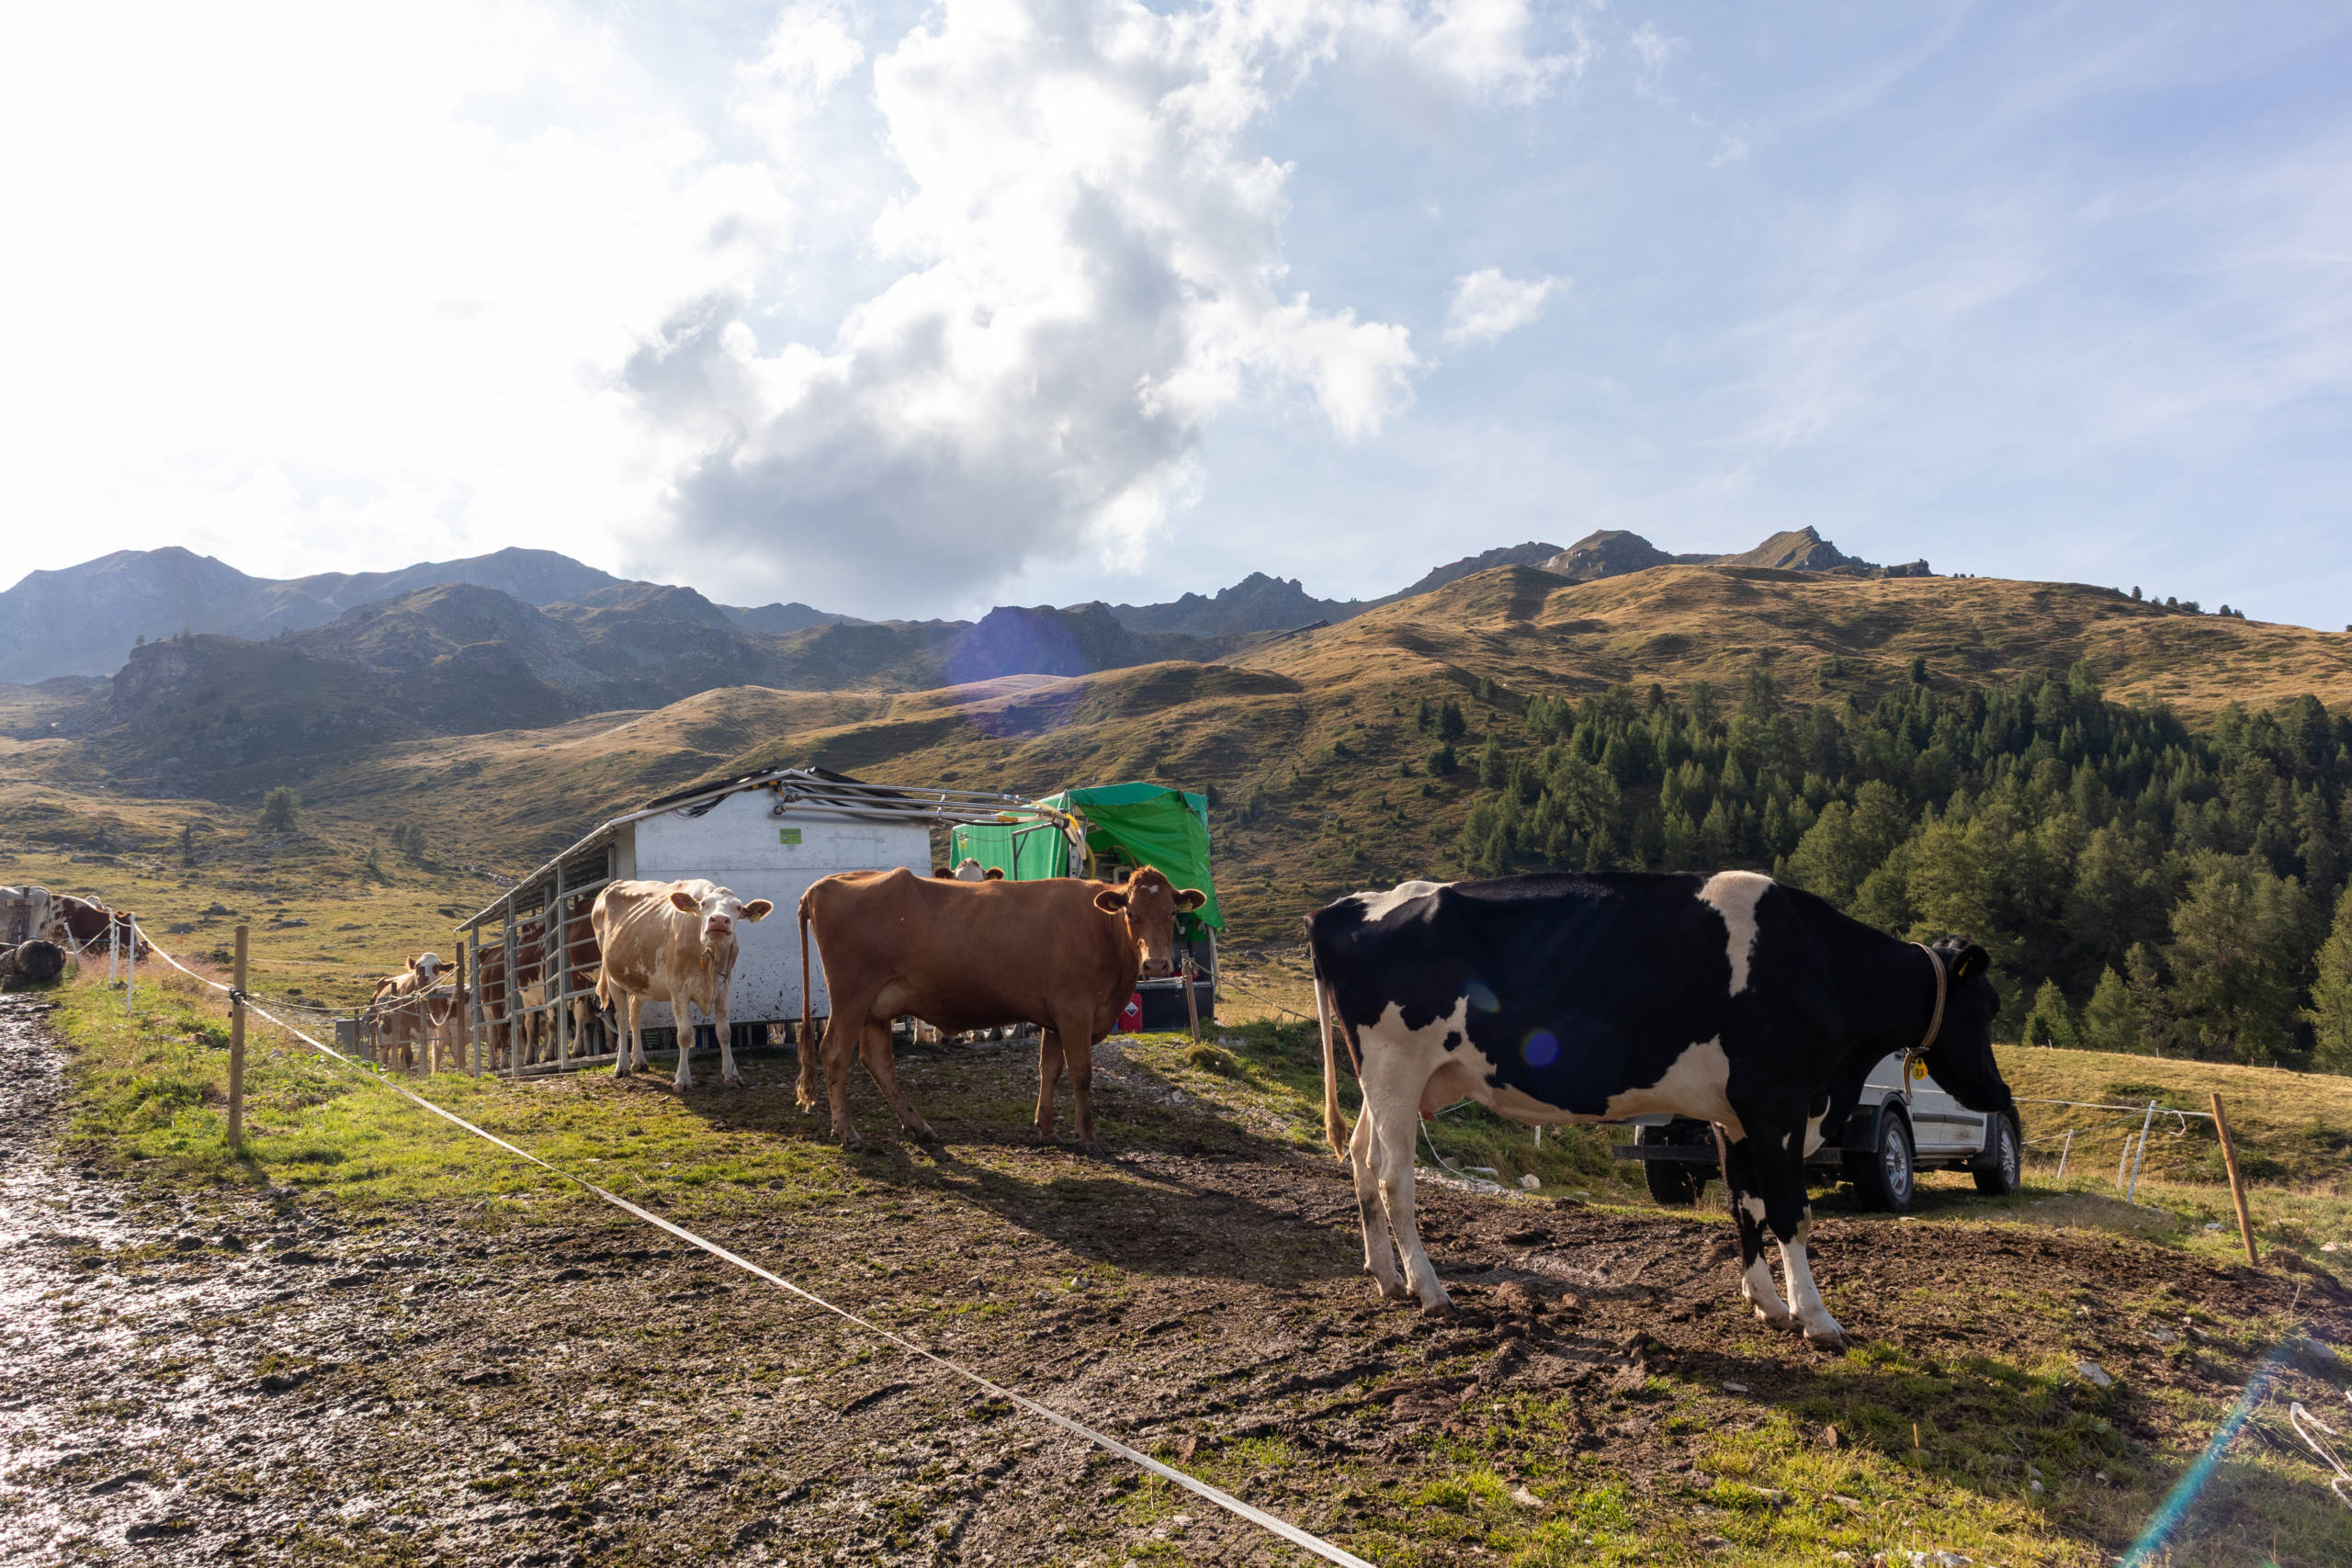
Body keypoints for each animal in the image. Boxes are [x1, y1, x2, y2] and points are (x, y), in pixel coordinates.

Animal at [592, 879, 773, 1090]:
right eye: (703, 904)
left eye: (737, 907)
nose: (719, 920)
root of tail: (613, 884)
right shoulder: (678, 989)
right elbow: (685, 1034)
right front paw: (682, 1080)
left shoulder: (724, 987)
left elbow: (724, 1032)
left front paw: (732, 1075)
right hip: (613, 977)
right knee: (621, 1020)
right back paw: (622, 1067)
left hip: (640, 979)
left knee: (634, 1015)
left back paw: (639, 1061)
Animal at [795, 865, 1206, 1150]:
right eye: (1130, 913)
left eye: (1171, 913)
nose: (1157, 965)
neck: (1102, 930)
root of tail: (822, 885)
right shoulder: (1075, 1011)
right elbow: (1081, 1074)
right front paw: (1087, 1138)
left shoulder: (1054, 1017)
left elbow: (1049, 1071)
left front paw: (1047, 1130)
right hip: (851, 996)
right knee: (834, 1053)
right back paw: (848, 1134)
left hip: (877, 1006)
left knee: (877, 1061)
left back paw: (918, 1127)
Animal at [1307, 871, 2011, 1342]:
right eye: (1991, 1005)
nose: (2001, 1096)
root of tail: (1343, 907)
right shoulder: (1777, 1102)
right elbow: (1792, 1211)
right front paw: (1816, 1318)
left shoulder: (1735, 1115)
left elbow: (1745, 1206)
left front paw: (1767, 1303)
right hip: (1396, 1065)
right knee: (1395, 1176)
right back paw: (1429, 1289)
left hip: (1387, 1079)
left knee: (1362, 1159)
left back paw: (1386, 1276)